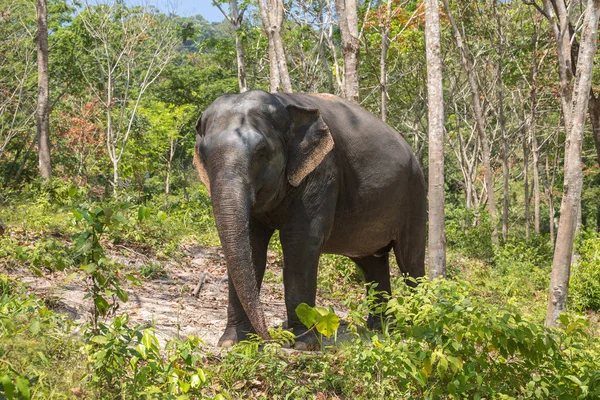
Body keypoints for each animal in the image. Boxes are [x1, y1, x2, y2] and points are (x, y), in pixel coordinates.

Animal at [193, 90, 426, 350]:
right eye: (203, 154)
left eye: (261, 151)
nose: (271, 337)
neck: (282, 102)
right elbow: (252, 247)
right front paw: (231, 342)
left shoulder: (323, 170)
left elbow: (301, 242)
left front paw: (303, 344)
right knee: (372, 264)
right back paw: (380, 328)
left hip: (415, 194)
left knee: (410, 262)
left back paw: (418, 325)